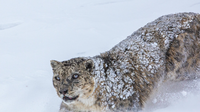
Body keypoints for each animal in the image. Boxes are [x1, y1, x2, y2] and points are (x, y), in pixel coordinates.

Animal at [50, 11, 200, 111]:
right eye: (57, 77)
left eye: (75, 75)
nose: (63, 91)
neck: (87, 105)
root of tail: (195, 15)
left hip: (182, 67)